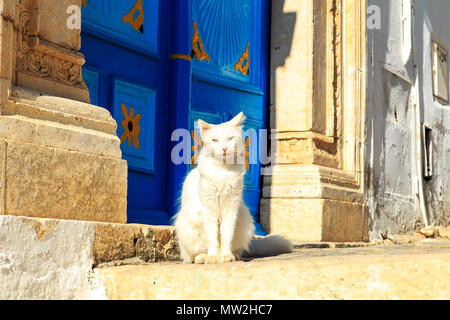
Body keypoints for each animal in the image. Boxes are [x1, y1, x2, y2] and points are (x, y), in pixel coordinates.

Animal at [172, 111, 292, 264]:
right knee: (194, 254)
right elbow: (213, 238)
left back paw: (233, 256)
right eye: (215, 140)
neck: (223, 172)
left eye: (230, 138)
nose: (224, 148)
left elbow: (225, 236)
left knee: (239, 250)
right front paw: (213, 257)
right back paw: (203, 258)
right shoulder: (209, 211)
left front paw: (225, 256)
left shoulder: (231, 209)